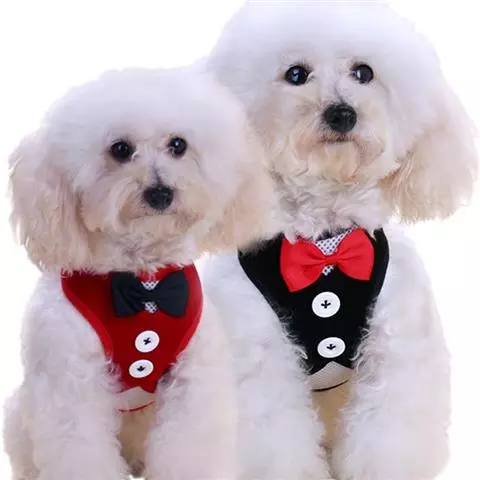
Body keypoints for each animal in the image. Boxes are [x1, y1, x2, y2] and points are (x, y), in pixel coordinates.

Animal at [3, 66, 272, 480]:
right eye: (120, 149)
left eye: (178, 145)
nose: (161, 193)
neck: (143, 281)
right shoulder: (72, 384)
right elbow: (80, 449)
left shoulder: (191, 382)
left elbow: (191, 449)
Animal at [202, 2, 478, 479]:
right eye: (296, 74)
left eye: (363, 72)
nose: (342, 113)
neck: (326, 243)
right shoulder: (259, 360)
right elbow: (274, 439)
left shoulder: (395, 352)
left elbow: (388, 435)